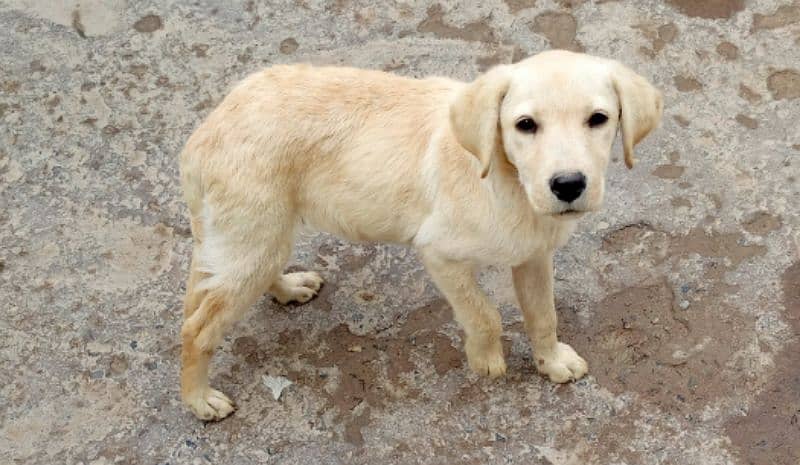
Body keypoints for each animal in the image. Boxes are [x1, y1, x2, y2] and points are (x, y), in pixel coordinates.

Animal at [180, 49, 664, 418]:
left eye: (598, 119)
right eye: (525, 125)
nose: (568, 185)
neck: (505, 179)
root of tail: (205, 132)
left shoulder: (534, 255)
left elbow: (544, 314)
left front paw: (552, 360)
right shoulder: (440, 253)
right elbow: (483, 314)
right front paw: (486, 360)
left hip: (261, 236)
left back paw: (288, 286)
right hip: (253, 235)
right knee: (197, 326)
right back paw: (199, 399)